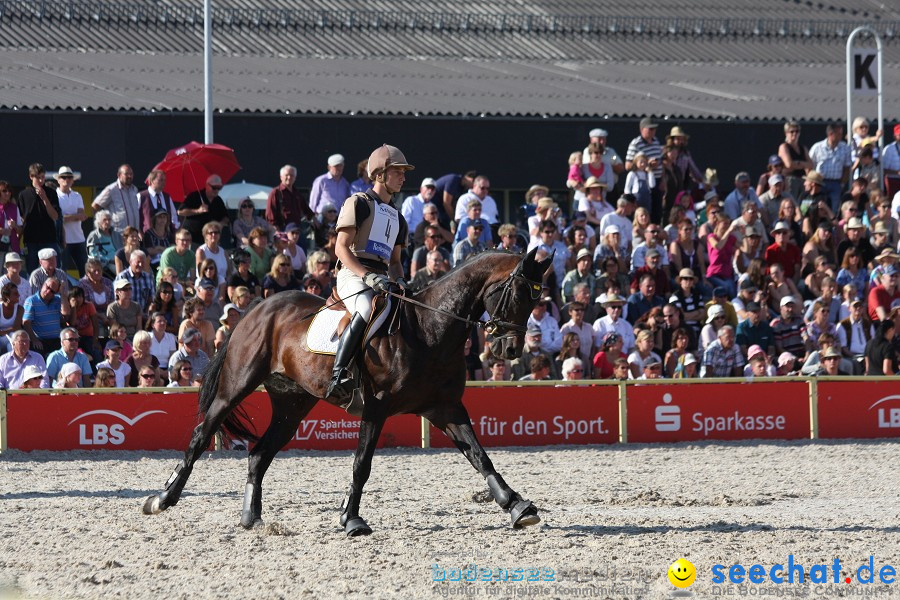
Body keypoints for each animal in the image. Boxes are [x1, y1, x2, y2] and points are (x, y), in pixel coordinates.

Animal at [142, 247, 548, 536]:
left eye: (536, 299)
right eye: (518, 294)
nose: (511, 349)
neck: (429, 328)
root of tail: (260, 306)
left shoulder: (444, 408)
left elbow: (481, 456)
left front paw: (516, 505)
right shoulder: (377, 409)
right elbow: (361, 465)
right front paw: (351, 520)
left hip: (292, 406)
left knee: (259, 455)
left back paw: (250, 518)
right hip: (235, 388)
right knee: (201, 435)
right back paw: (161, 499)